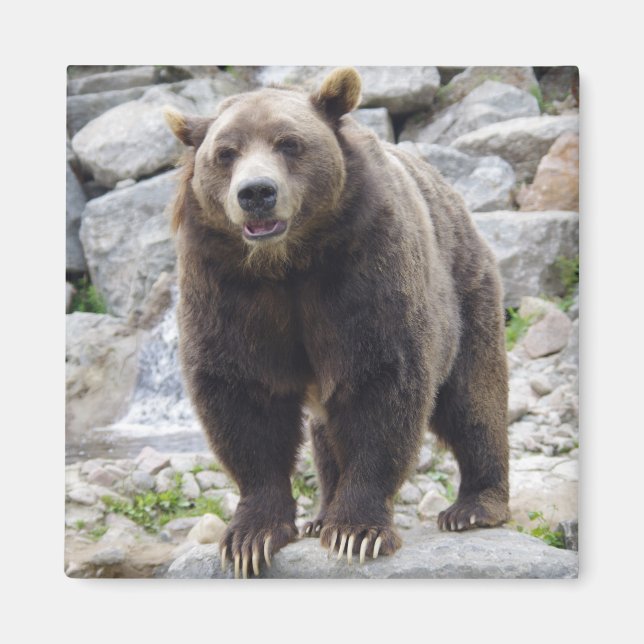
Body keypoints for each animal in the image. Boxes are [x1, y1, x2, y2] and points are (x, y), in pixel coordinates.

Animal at [165, 67, 510, 578]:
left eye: (289, 143)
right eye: (225, 153)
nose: (256, 193)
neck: (287, 263)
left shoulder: (363, 266)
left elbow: (380, 382)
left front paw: (356, 531)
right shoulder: (226, 285)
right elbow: (242, 394)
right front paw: (251, 537)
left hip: (467, 292)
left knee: (473, 398)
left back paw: (474, 506)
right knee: (325, 431)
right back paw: (319, 514)